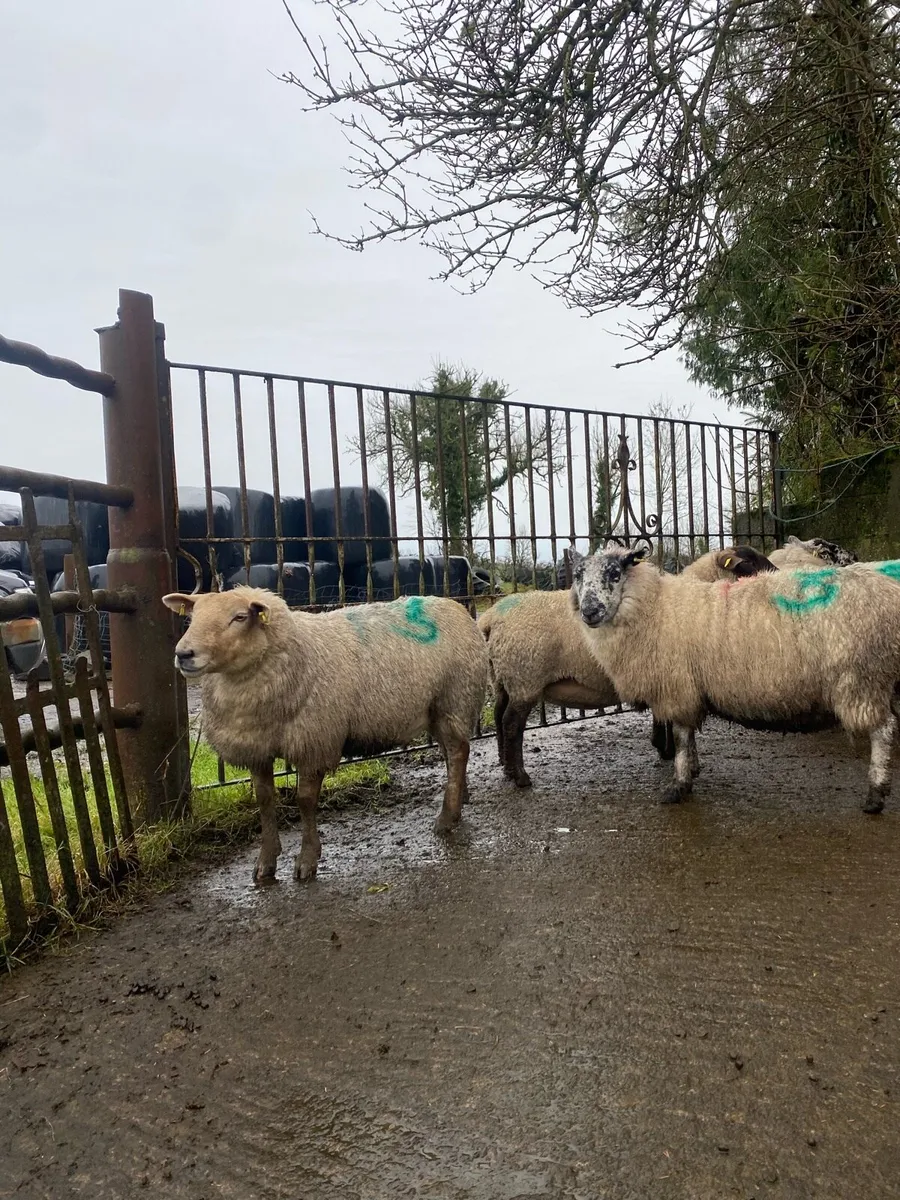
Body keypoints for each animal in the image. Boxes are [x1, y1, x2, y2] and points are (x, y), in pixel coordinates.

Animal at [163, 587, 489, 882]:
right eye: (191, 618)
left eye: (240, 617)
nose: (183, 654)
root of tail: (456, 607)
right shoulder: (258, 748)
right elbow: (264, 800)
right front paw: (265, 862)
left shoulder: (314, 741)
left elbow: (305, 801)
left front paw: (307, 861)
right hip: (437, 709)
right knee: (452, 754)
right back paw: (458, 801)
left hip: (453, 699)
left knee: (458, 752)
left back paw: (446, 818)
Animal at [569, 541, 900, 814]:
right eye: (577, 576)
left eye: (614, 573)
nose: (590, 611)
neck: (655, 608)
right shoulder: (687, 689)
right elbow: (687, 737)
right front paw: (691, 772)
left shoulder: (676, 688)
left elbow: (679, 738)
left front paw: (677, 786)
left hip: (861, 677)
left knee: (883, 730)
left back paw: (875, 794)